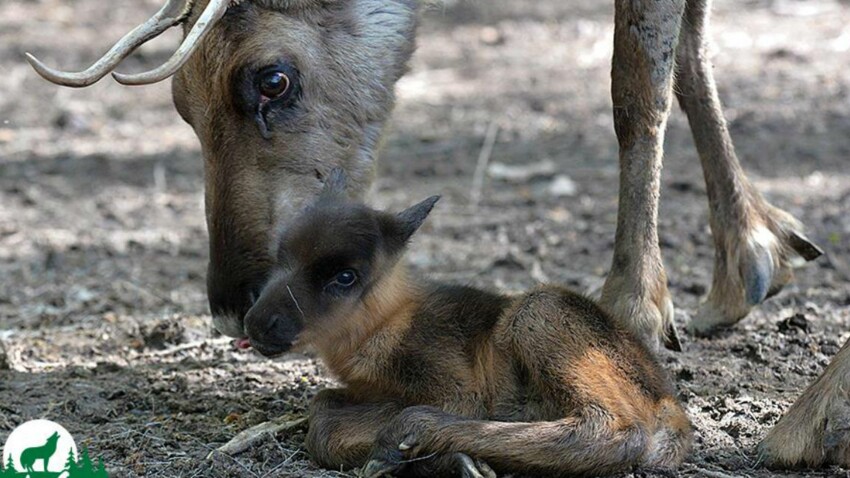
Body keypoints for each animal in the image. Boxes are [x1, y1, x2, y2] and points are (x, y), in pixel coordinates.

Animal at [243, 171, 688, 474]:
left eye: (345, 276)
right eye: (281, 256)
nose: (257, 324)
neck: (383, 324)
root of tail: (669, 402)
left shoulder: (456, 390)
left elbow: (328, 425)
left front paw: (411, 450)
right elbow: (323, 407)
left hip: (541, 311)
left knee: (617, 431)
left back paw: (424, 436)